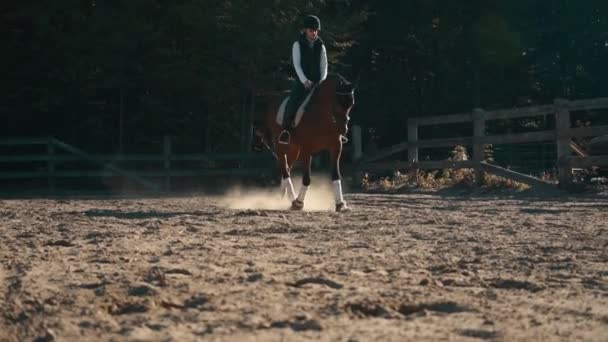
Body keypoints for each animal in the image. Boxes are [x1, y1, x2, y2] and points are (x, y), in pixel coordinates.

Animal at [252, 74, 356, 211]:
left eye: (351, 104)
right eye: (337, 103)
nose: (343, 129)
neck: (322, 115)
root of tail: (272, 101)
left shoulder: (336, 147)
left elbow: (336, 175)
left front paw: (341, 204)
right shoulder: (307, 150)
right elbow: (307, 178)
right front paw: (299, 203)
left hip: (293, 150)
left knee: (286, 168)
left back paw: (282, 197)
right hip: (280, 147)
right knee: (285, 171)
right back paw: (292, 199)